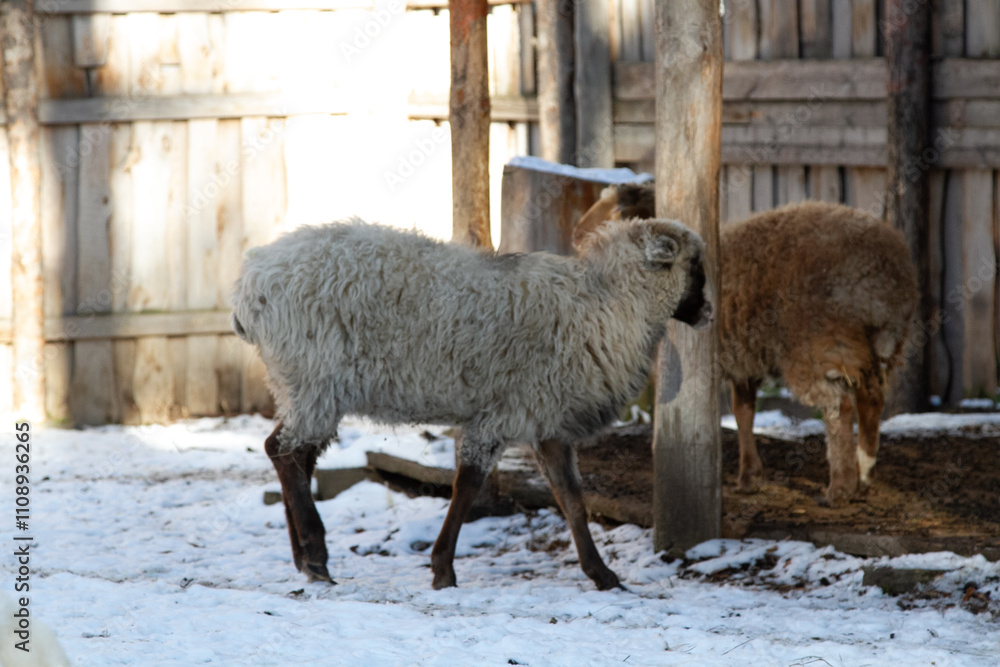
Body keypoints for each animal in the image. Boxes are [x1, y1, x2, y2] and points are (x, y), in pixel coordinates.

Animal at [231, 217, 711, 590]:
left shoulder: (547, 416)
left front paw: (602, 575)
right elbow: (467, 485)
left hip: (297, 386)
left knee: (291, 457)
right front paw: (443, 569)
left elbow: (571, 497)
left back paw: (304, 558)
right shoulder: (505, 413)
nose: (709, 313)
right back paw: (315, 555)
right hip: (315, 381)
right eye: (695, 264)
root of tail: (250, 283)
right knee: (285, 452)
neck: (607, 307)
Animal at [576, 186, 919, 506]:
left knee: (839, 406)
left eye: (619, 212)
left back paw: (840, 488)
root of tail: (886, 272)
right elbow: (744, 413)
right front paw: (749, 476)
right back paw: (863, 476)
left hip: (819, 344)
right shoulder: (743, 360)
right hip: (877, 345)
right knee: (871, 398)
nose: (578, 234)